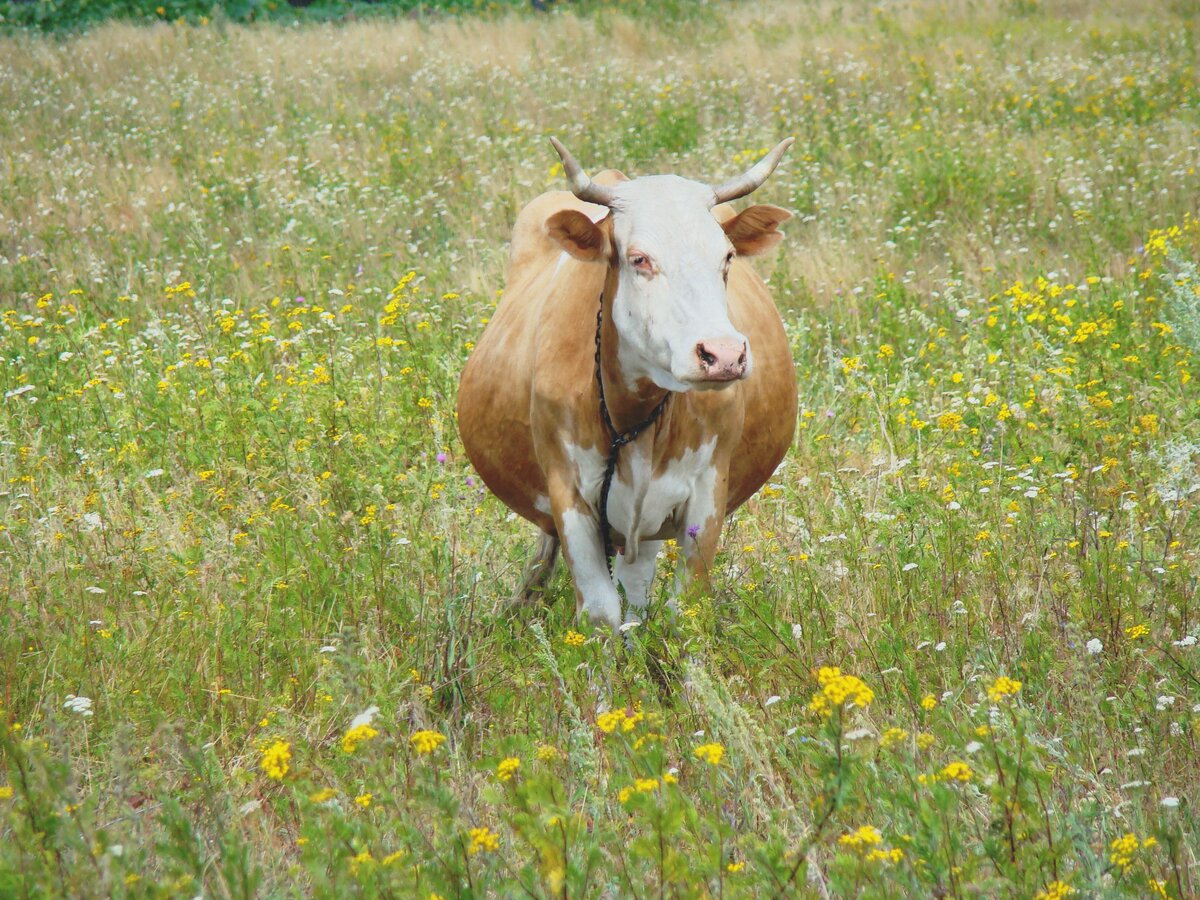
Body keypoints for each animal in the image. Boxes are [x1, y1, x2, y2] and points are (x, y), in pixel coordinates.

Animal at [456, 139, 796, 633]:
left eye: (727, 257)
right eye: (640, 259)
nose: (724, 355)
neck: (634, 414)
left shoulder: (708, 490)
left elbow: (684, 611)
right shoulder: (569, 493)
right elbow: (600, 614)